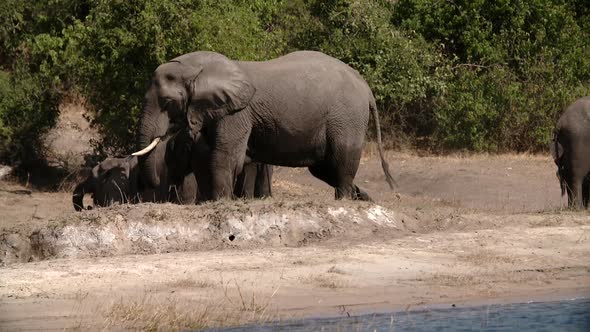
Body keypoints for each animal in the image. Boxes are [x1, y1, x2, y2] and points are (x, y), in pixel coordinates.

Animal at [132, 49, 396, 200]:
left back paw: (345, 201)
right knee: (325, 168)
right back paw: (362, 197)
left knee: (341, 161)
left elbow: (224, 156)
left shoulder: (238, 112)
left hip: (347, 117)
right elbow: (208, 155)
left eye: (167, 102)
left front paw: (220, 203)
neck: (199, 69)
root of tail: (366, 87)